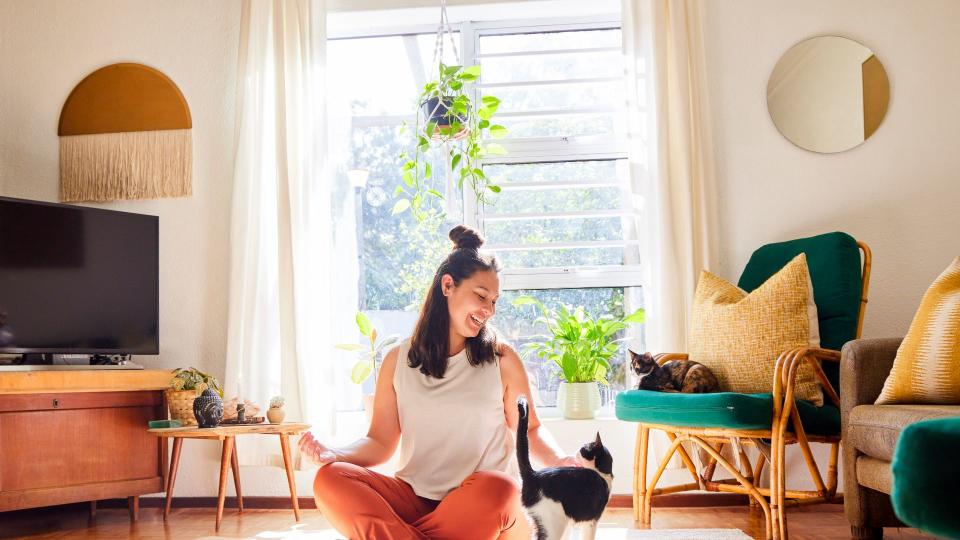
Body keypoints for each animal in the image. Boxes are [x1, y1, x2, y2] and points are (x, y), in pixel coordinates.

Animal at [512, 394, 612, 536]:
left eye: (582, 449)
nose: (575, 451)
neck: (602, 473)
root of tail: (533, 475)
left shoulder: (572, 521)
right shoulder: (592, 520)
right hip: (553, 523)